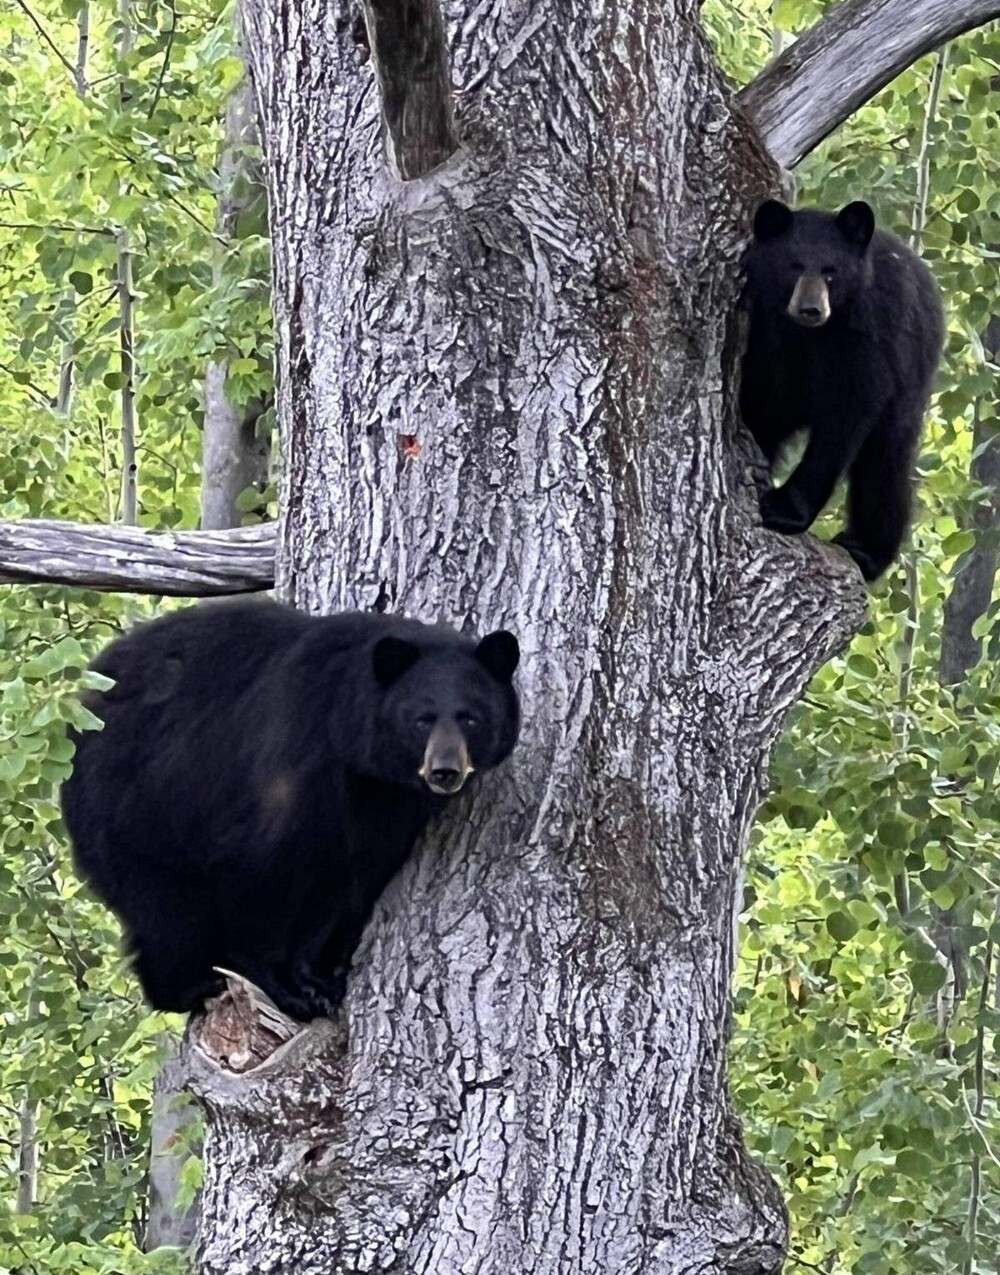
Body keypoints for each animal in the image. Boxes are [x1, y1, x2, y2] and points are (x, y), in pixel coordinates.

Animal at [60, 601, 522, 1020]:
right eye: (422, 719)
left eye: (471, 718)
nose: (445, 770)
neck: (348, 739)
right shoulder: (294, 763)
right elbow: (262, 872)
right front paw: (285, 988)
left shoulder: (382, 804)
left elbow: (345, 882)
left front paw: (318, 981)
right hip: (129, 804)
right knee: (164, 910)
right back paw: (188, 986)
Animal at [739, 196, 943, 581]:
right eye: (793, 266)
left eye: (831, 271)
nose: (811, 309)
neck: (811, 336)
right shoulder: (769, 334)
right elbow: (763, 401)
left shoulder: (867, 337)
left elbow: (846, 415)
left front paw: (785, 509)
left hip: (911, 378)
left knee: (885, 462)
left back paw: (867, 550)